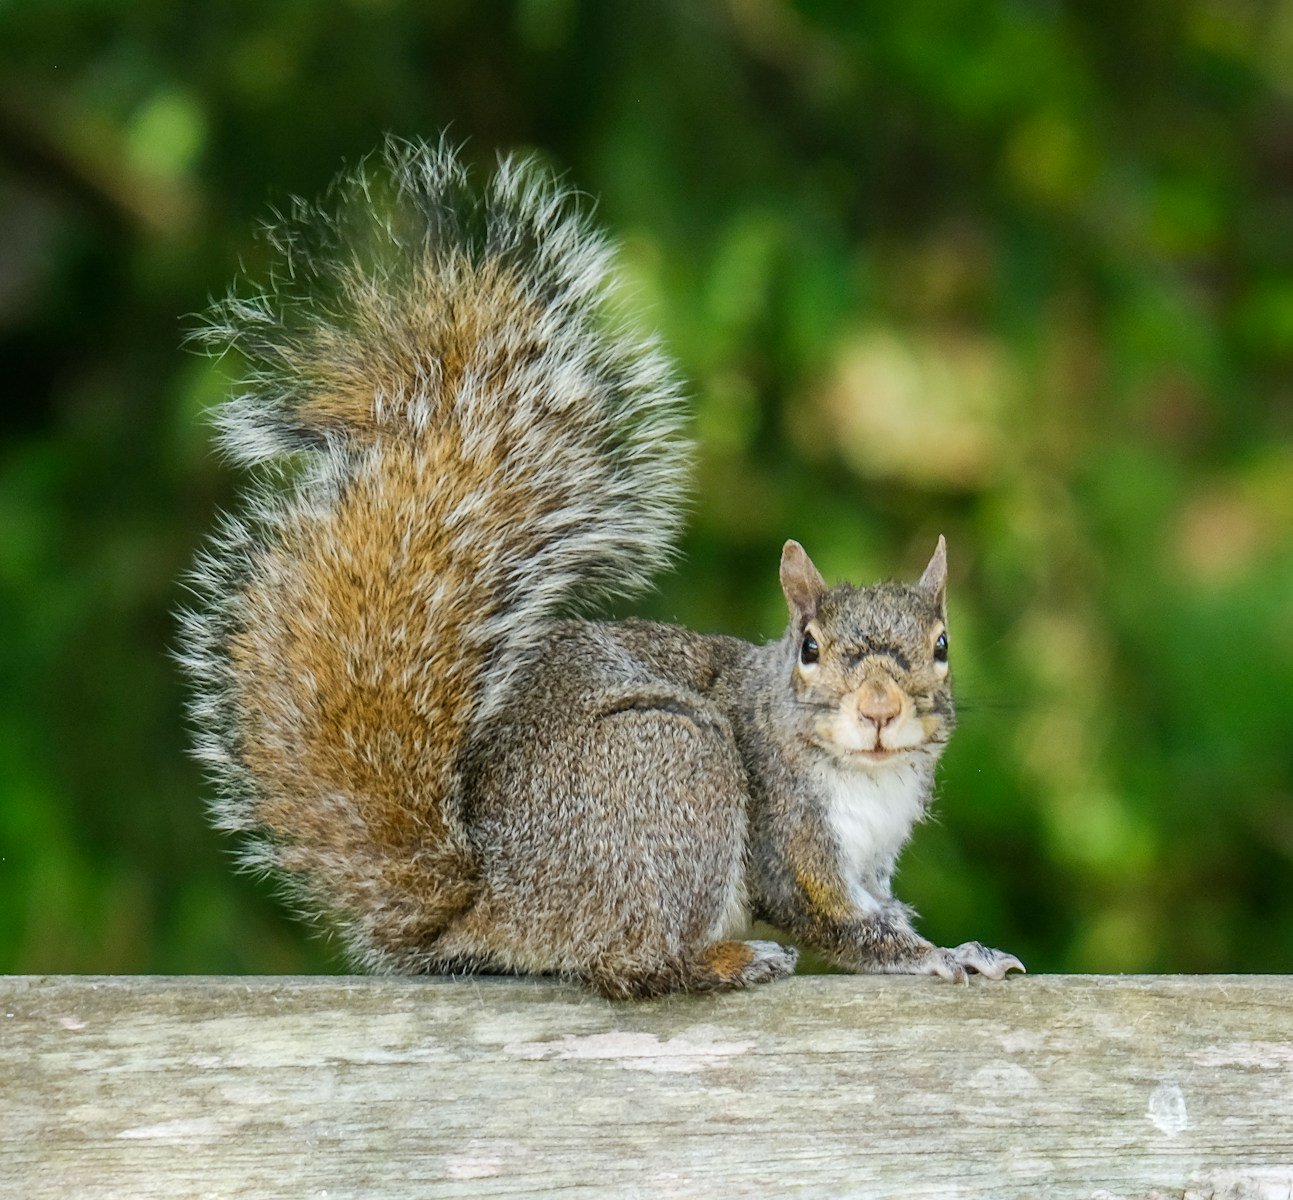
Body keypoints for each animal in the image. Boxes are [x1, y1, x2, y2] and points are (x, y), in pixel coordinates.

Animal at [178, 137, 1024, 999]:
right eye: (809, 646)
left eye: (942, 646)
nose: (880, 707)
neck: (866, 779)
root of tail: (493, 904)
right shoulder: (786, 836)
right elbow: (837, 924)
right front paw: (938, 956)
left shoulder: (870, 863)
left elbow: (878, 907)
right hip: (675, 762)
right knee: (636, 963)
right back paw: (727, 958)